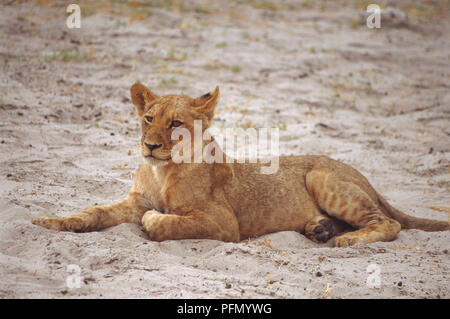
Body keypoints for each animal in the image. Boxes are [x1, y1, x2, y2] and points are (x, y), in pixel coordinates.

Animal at [32, 84, 450, 248]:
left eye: (176, 123)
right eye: (148, 118)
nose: (149, 146)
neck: (162, 170)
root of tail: (361, 174)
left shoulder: (223, 223)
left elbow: (167, 223)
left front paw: (156, 222)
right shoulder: (134, 201)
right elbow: (94, 211)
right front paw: (51, 222)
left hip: (321, 176)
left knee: (390, 222)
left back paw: (344, 239)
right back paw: (320, 229)